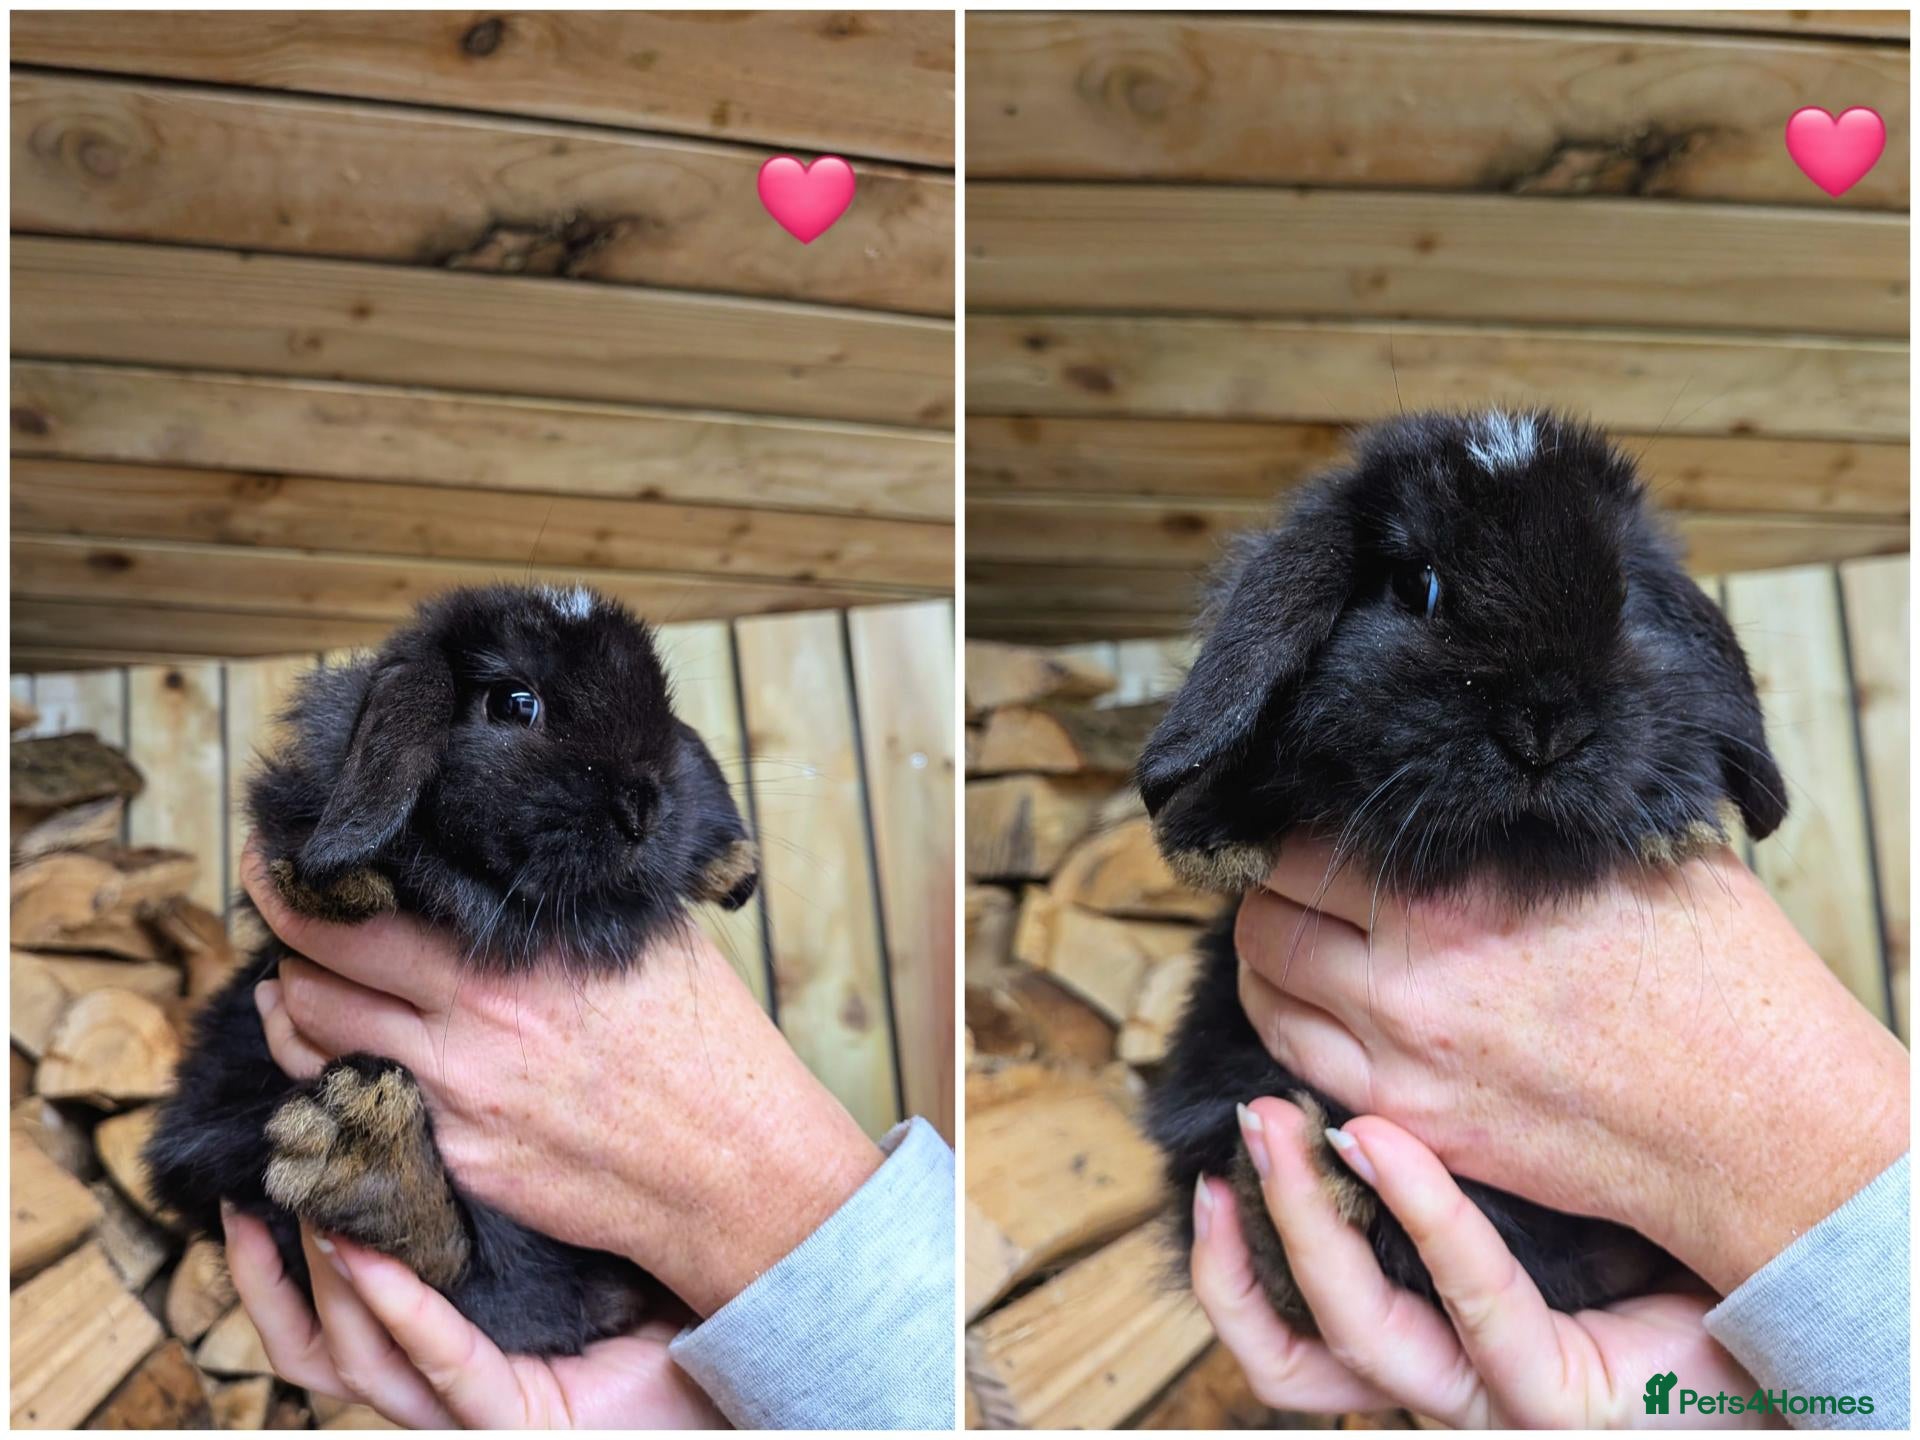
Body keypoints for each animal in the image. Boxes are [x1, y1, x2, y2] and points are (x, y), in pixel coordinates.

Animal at [146, 583, 760, 1356]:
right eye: (515, 704)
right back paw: (367, 1162)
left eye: (660, 708)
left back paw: (366, 1165)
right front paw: (336, 884)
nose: (641, 809)